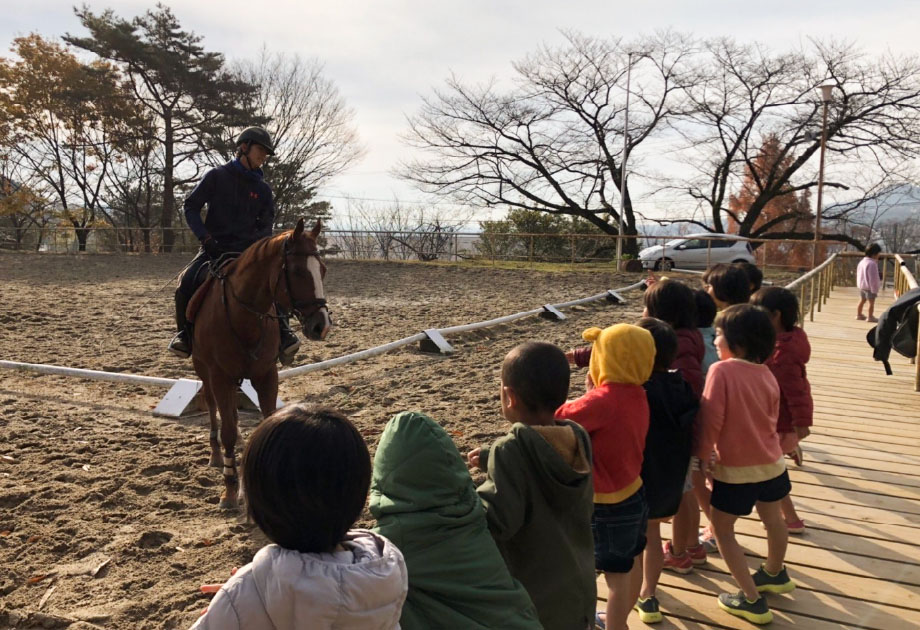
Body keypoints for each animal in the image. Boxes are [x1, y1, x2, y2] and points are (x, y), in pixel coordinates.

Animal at [190, 220, 330, 512]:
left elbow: (267, 420)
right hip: (203, 369)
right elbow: (228, 432)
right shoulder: (220, 376)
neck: (244, 317)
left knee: (230, 412)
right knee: (213, 406)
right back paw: (216, 454)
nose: (321, 326)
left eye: (322, 269)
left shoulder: (267, 375)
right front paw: (230, 491)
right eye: (297, 271)